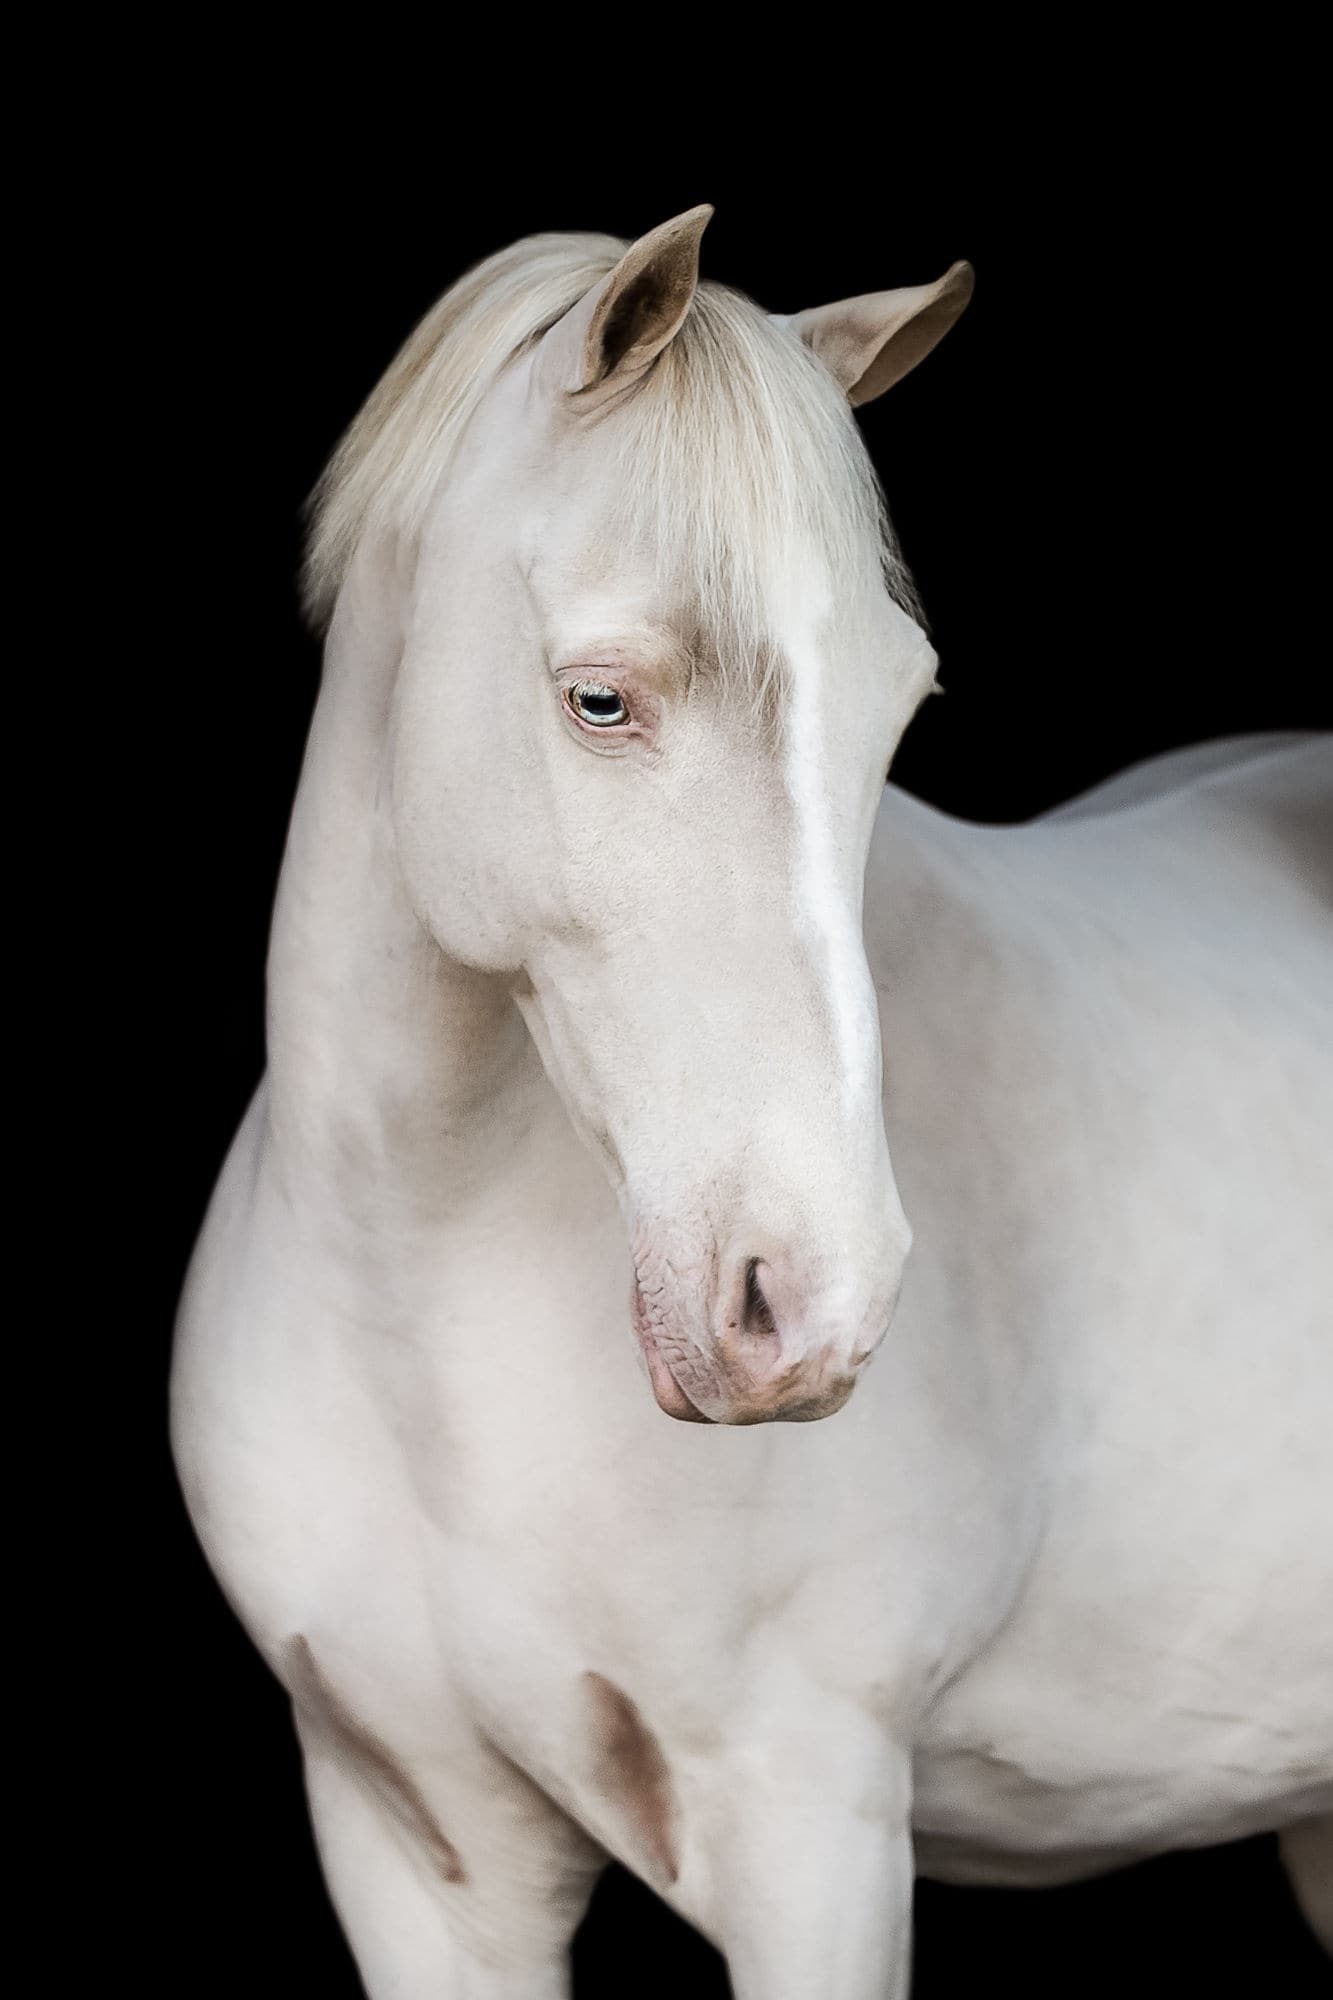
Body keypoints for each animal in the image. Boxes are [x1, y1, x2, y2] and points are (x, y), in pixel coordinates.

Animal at [169, 203, 1328, 1984]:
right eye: (600, 697)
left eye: (897, 706)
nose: (814, 1303)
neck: (414, 1312)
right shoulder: (411, 1849)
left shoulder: (810, 1835)